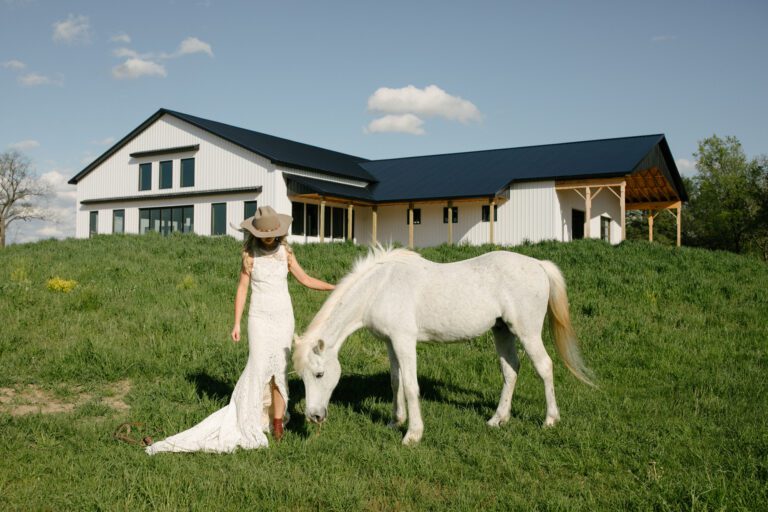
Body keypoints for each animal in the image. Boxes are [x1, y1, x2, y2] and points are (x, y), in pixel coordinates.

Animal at [294, 245, 592, 444]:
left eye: (320, 374)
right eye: (304, 377)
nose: (314, 416)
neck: (380, 288)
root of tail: (538, 264)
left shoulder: (404, 341)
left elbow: (411, 386)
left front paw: (412, 435)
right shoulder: (391, 343)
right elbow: (395, 381)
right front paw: (395, 421)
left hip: (527, 332)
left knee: (544, 367)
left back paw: (550, 420)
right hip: (502, 331)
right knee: (511, 370)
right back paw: (498, 419)